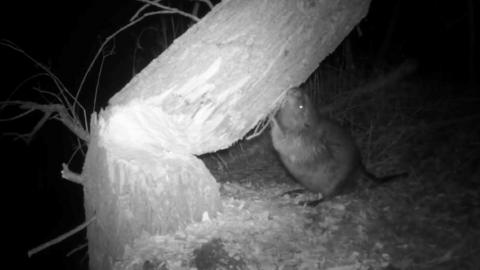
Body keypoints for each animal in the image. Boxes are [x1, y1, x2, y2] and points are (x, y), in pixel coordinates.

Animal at [270, 86, 404, 200]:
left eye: (301, 106)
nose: (295, 89)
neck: (310, 128)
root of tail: (361, 167)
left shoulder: (301, 142)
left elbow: (281, 141)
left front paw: (271, 117)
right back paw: (291, 192)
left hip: (336, 183)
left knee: (327, 197)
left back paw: (309, 202)